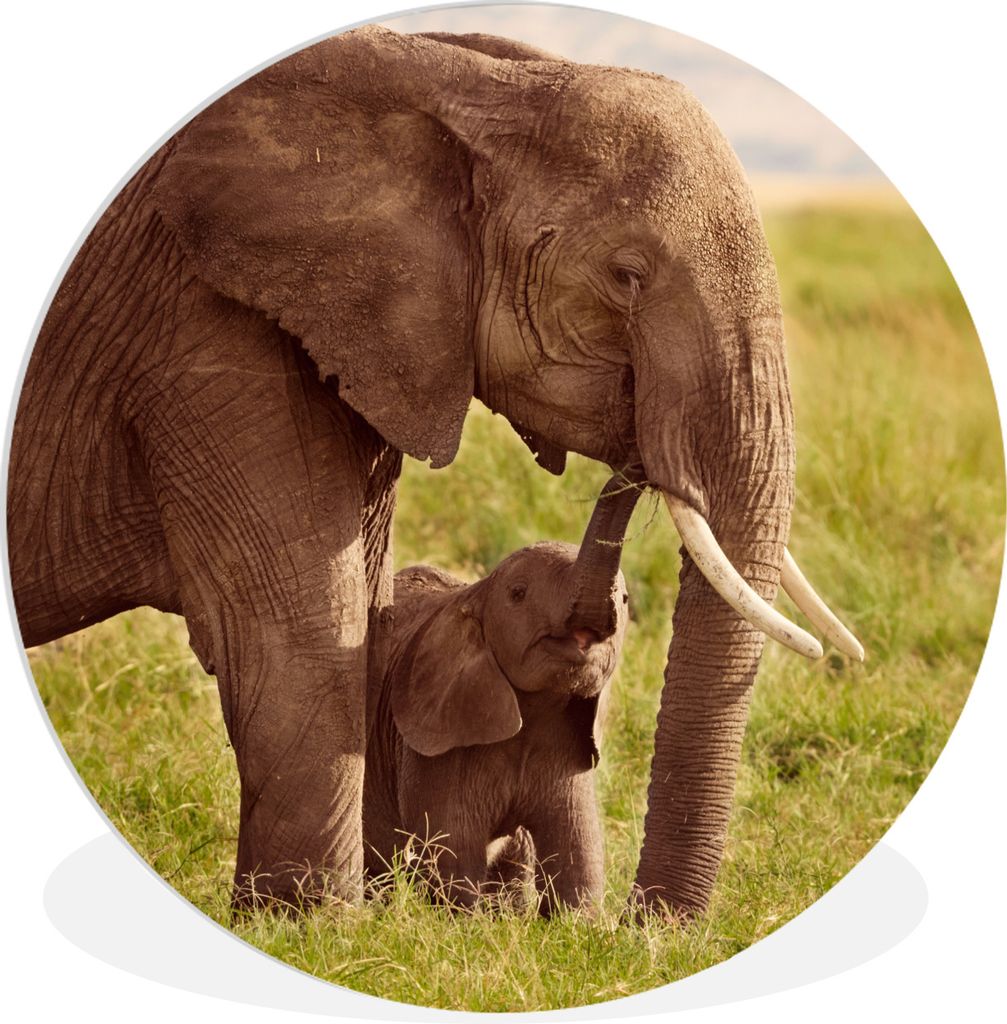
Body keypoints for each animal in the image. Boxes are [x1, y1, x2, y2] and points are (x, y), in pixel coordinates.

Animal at [363, 473, 640, 914]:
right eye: (518, 594)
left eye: (626, 600)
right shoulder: (436, 746)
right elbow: (453, 849)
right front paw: (465, 920)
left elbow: (577, 850)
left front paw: (578, 923)